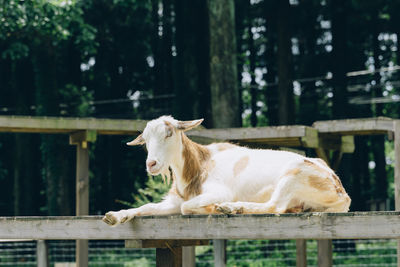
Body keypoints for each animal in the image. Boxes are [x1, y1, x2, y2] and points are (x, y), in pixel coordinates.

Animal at [103, 116, 350, 227]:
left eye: (169, 133)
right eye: (144, 139)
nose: (151, 164)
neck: (199, 165)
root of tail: (342, 194)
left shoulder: (219, 191)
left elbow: (185, 207)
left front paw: (212, 208)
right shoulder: (173, 201)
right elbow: (147, 207)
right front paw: (114, 216)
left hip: (295, 173)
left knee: (275, 206)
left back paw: (230, 208)